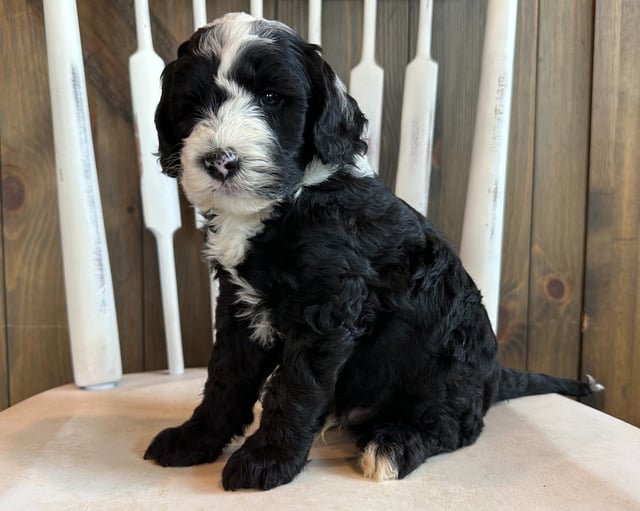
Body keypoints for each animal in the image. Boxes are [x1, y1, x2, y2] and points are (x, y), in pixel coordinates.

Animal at [142, 13, 604, 492]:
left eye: (271, 98)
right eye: (193, 102)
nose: (220, 161)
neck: (286, 201)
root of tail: (495, 375)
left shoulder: (328, 308)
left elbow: (295, 386)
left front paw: (266, 460)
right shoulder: (239, 305)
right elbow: (225, 377)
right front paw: (194, 439)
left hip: (446, 364)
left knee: (456, 426)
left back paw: (393, 445)